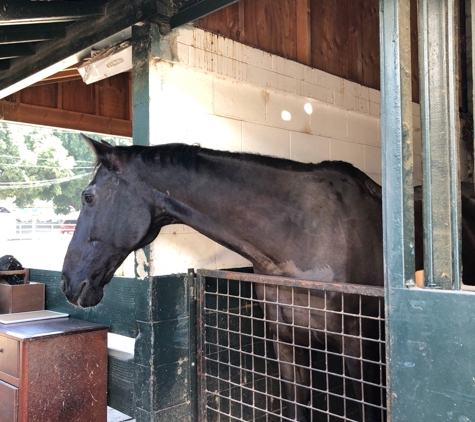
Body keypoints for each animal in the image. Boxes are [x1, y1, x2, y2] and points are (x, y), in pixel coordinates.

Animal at [61, 136, 475, 422]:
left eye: (88, 196)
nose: (67, 283)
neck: (302, 232)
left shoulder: (358, 343)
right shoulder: (285, 340)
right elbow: (297, 403)